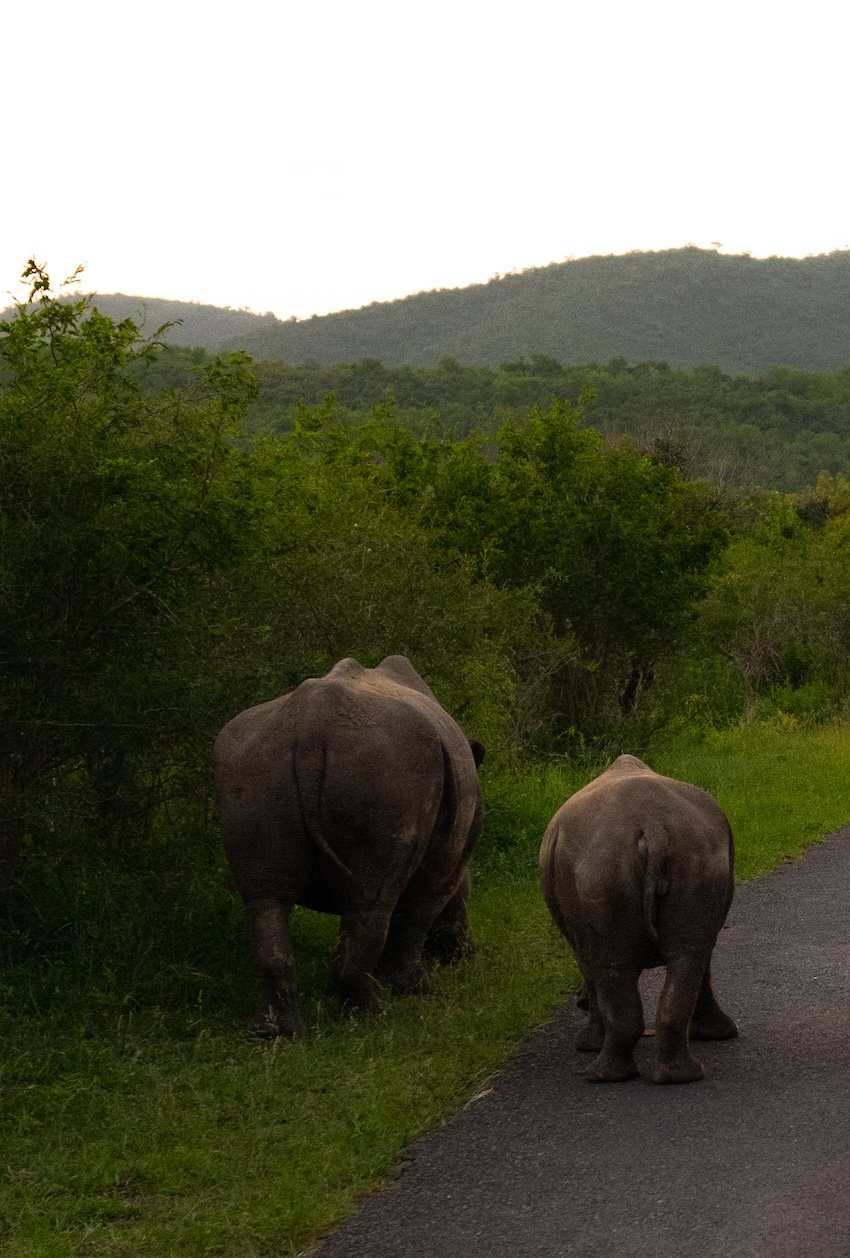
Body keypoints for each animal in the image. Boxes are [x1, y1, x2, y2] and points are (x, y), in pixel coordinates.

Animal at [213, 654, 485, 1036]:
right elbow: (419, 913)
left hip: (253, 766)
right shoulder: (450, 861)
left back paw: (275, 1033)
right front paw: (412, 987)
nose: (466, 954)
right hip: (390, 770)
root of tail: (310, 726)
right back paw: (371, 1016)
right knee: (370, 902)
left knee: (266, 898)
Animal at [545, 749, 739, 1086]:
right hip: (697, 851)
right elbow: (702, 960)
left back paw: (599, 1076)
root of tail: (653, 827)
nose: (578, 1003)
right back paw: (681, 1077)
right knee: (689, 957)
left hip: (599, 865)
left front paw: (587, 1043)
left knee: (612, 968)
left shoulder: (580, 939)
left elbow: (591, 974)